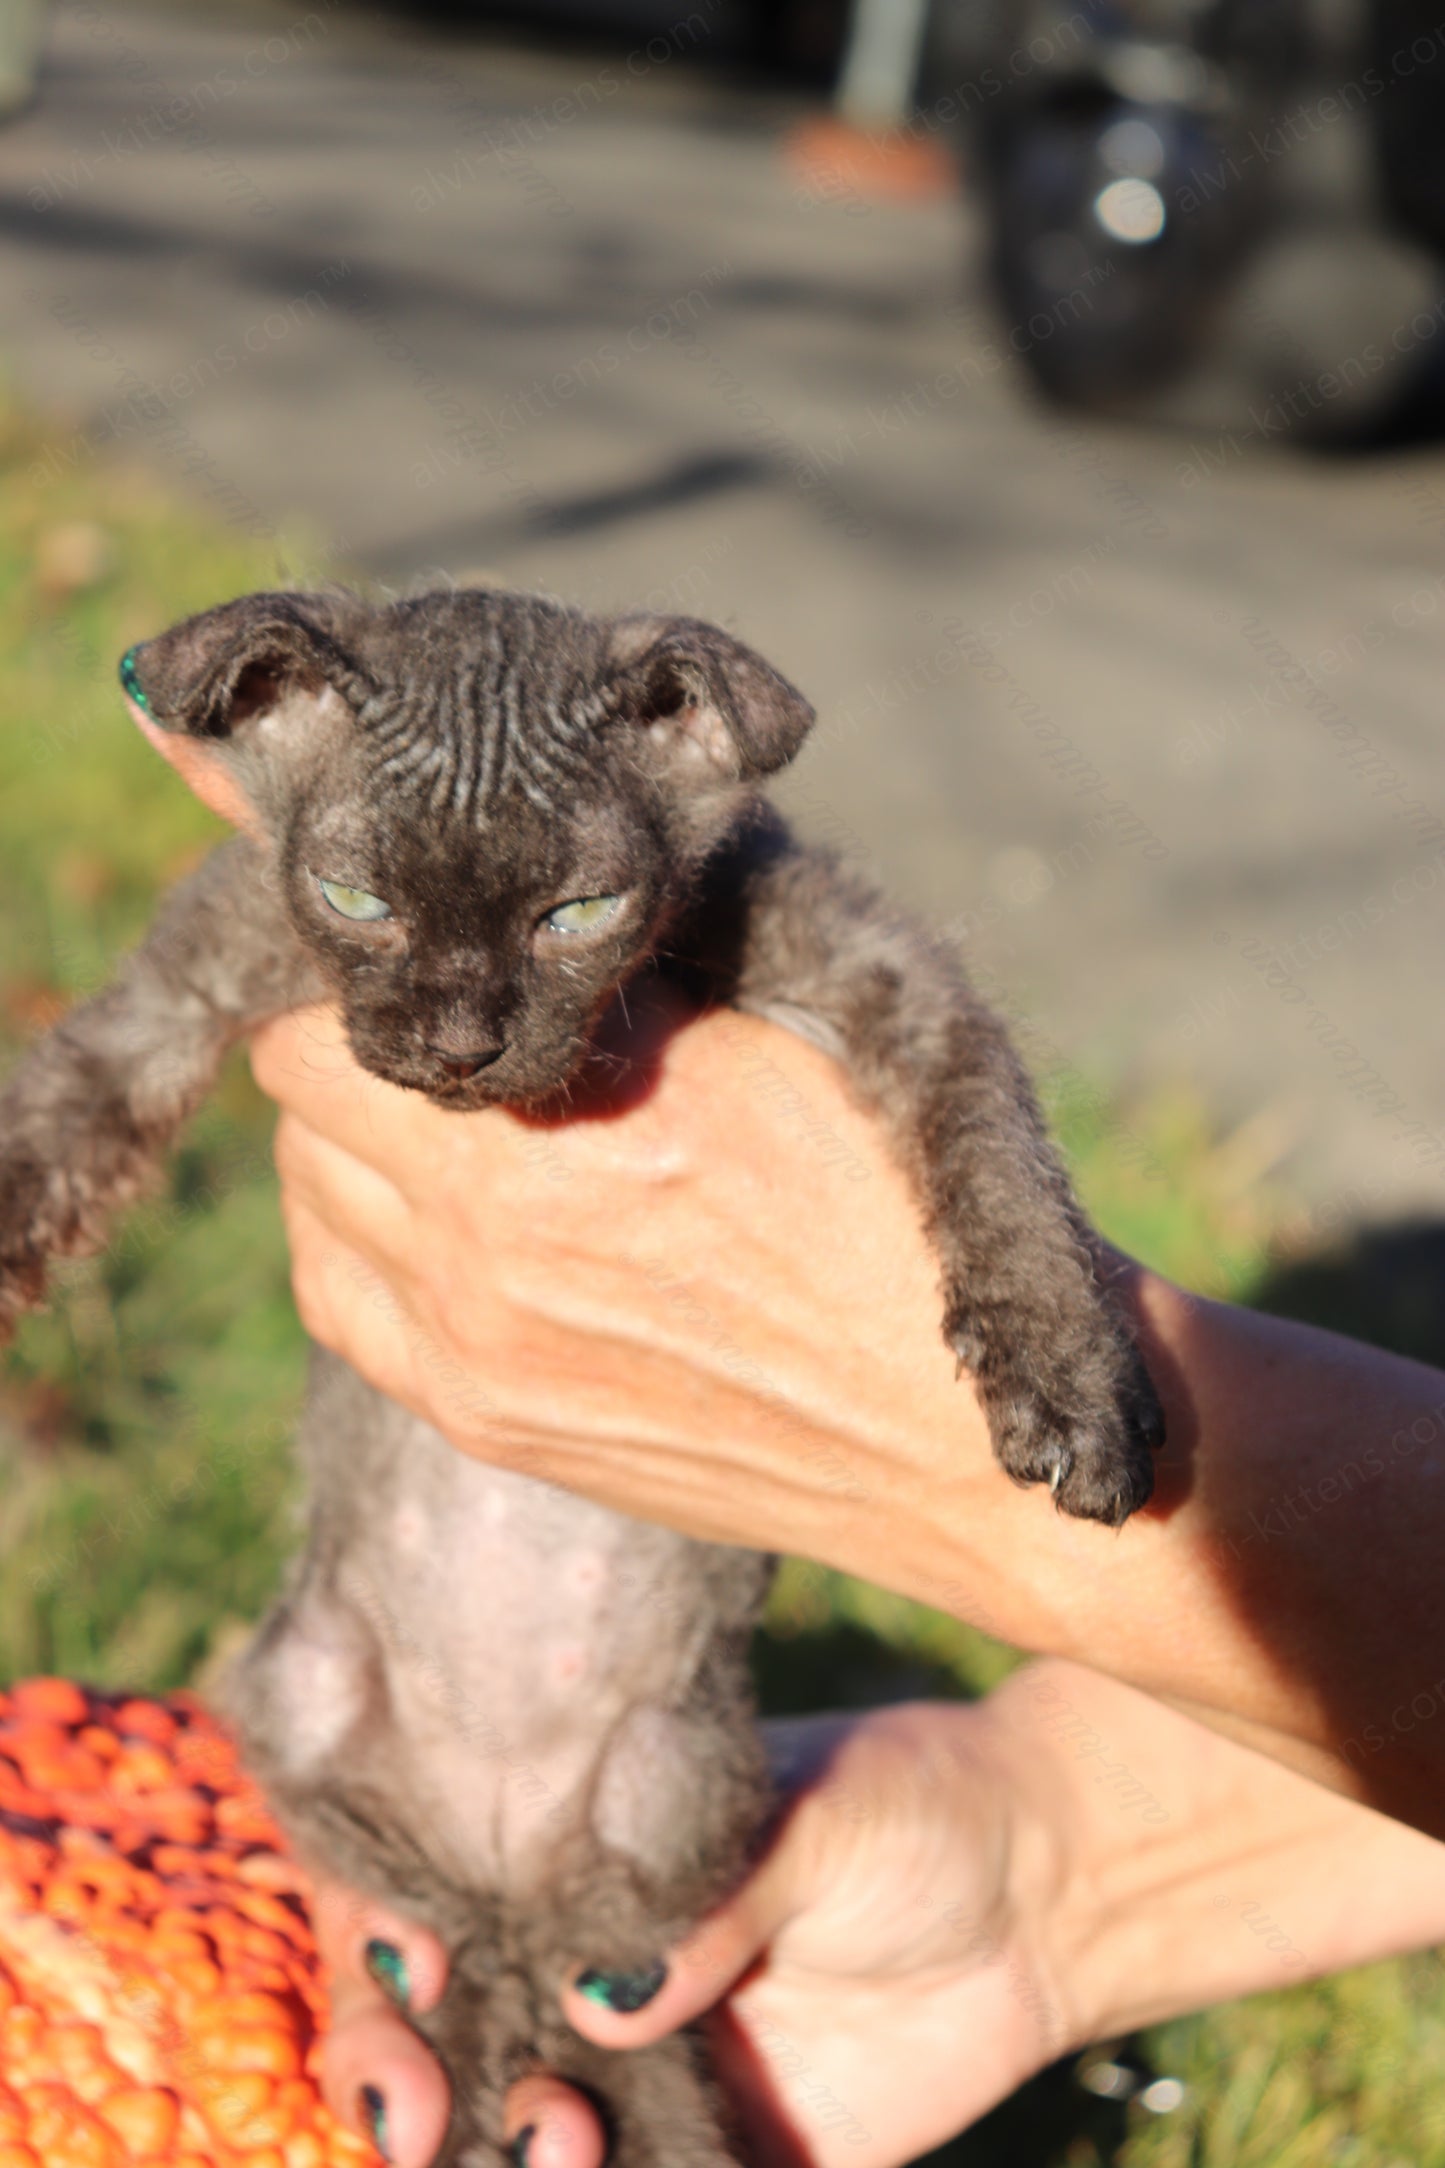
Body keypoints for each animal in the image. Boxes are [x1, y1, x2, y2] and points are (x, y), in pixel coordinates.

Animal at [0, 589, 1161, 2168]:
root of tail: (507, 1867)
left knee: (589, 1974)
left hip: (679, 1783)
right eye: (355, 900)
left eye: (578, 915)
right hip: (294, 1694)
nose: (460, 1040)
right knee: (441, 1937)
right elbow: (58, 1110)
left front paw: (1066, 1367)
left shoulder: (880, 972)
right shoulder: (188, 978)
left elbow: (993, 1140)